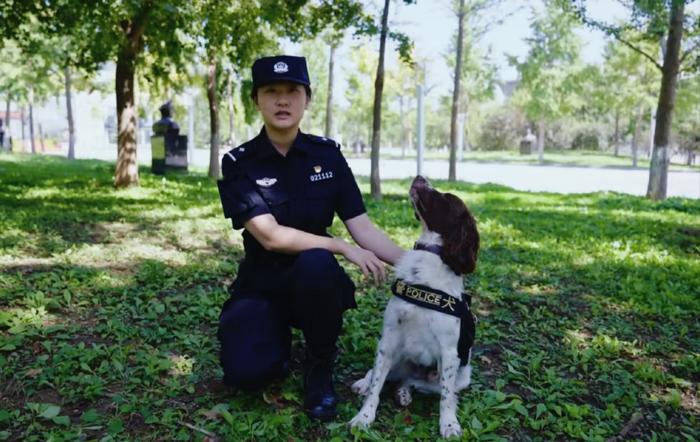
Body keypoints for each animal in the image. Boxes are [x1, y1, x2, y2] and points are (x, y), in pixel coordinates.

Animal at [350, 175, 482, 438]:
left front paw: (449, 424)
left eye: (446, 197)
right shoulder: (388, 340)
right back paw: (365, 383)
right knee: (380, 375)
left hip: (461, 377)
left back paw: (403, 393)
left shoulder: (449, 353)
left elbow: (446, 398)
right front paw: (364, 417)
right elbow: (376, 386)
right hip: (396, 358)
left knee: (418, 384)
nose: (420, 177)